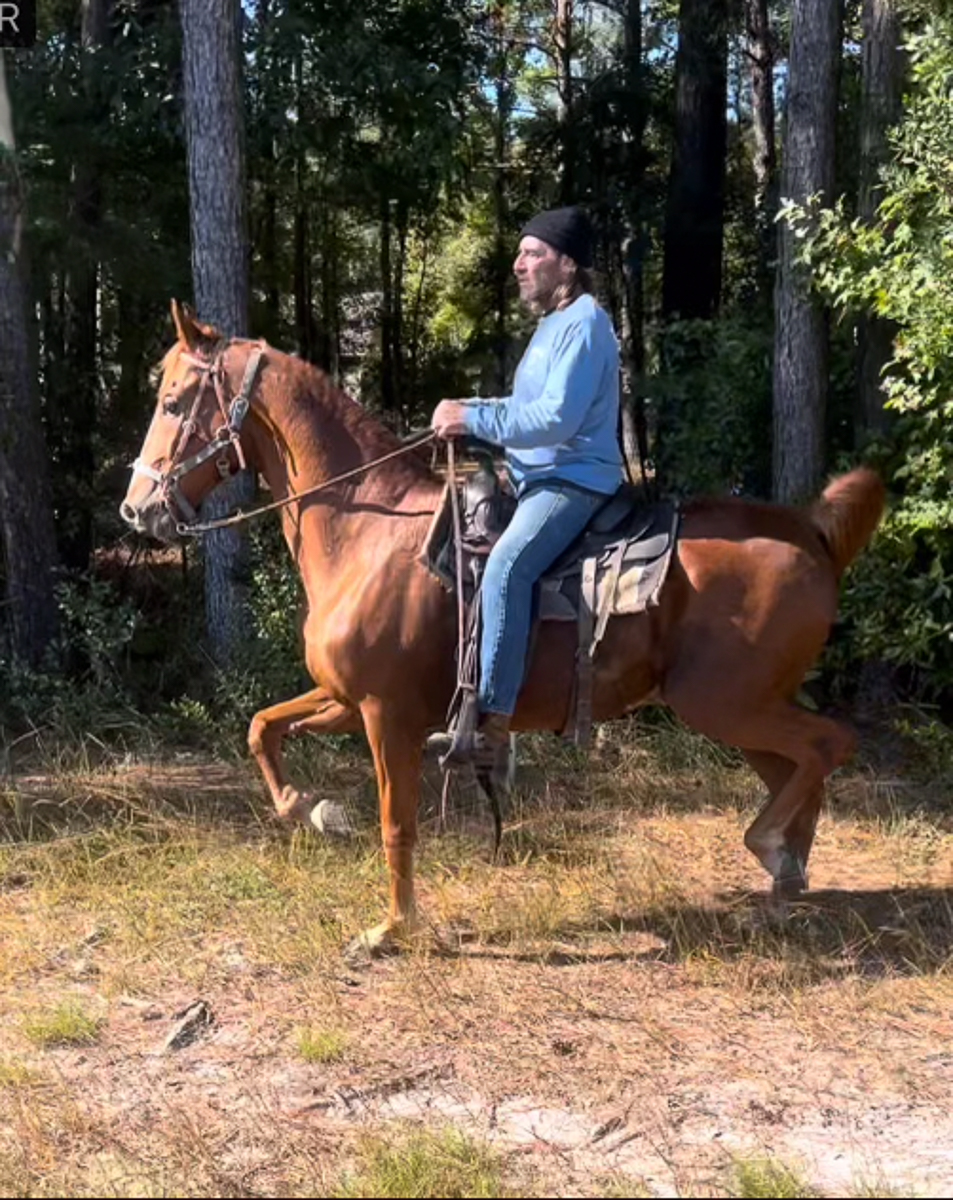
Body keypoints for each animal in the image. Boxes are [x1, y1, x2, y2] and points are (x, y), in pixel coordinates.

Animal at [120, 301, 886, 957]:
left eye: (172, 402)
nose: (136, 509)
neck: (365, 530)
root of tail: (812, 534)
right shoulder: (346, 700)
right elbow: (263, 726)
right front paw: (306, 807)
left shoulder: (387, 714)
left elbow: (397, 823)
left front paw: (392, 929)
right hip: (740, 708)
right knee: (798, 762)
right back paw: (787, 870)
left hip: (725, 703)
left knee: (828, 743)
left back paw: (771, 846)